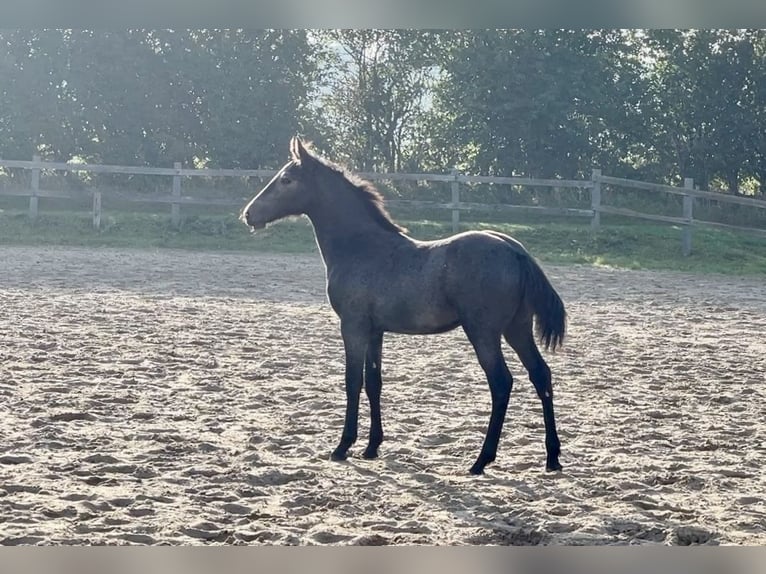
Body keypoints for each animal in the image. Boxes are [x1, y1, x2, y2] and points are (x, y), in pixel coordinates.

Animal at [243, 137, 568, 474]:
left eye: (286, 180)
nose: (249, 214)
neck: (361, 247)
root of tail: (516, 251)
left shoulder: (352, 326)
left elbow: (352, 381)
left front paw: (343, 446)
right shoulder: (375, 331)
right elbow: (374, 382)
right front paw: (372, 446)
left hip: (483, 332)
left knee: (501, 383)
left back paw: (481, 460)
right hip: (517, 328)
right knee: (541, 374)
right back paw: (552, 457)